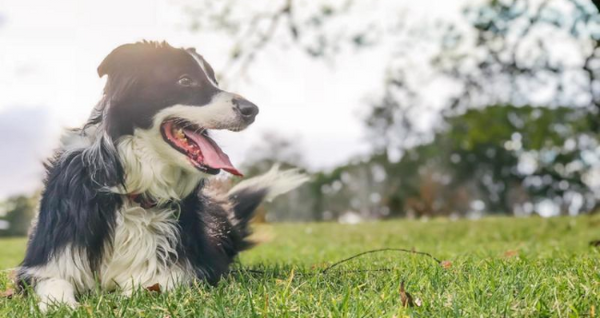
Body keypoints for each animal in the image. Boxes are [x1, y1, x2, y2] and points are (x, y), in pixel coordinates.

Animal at [16, 40, 308, 310]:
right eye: (185, 80)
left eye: (214, 81)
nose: (252, 109)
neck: (133, 189)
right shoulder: (44, 265)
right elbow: (55, 290)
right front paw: (66, 306)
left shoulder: (189, 266)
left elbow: (146, 287)